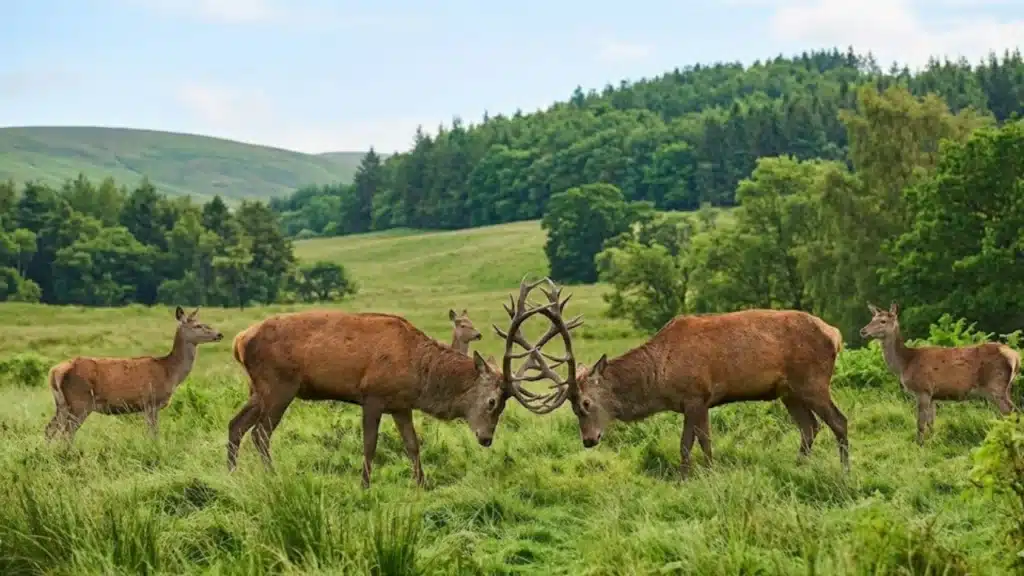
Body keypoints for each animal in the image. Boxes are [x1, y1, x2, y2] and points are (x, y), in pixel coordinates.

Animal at [43, 306, 224, 443]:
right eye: (198, 325)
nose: (219, 334)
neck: (170, 372)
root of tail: (56, 371)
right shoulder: (151, 402)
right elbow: (153, 433)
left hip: (62, 404)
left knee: (50, 429)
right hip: (80, 401)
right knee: (67, 433)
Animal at [226, 277, 577, 488]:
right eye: (492, 402)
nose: (487, 439)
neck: (419, 375)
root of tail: (239, 340)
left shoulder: (400, 404)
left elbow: (412, 444)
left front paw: (422, 484)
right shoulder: (373, 395)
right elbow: (370, 443)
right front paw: (365, 485)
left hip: (257, 388)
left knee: (236, 425)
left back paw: (230, 475)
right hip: (279, 385)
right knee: (260, 433)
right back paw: (272, 478)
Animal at [502, 291, 851, 479]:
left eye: (585, 404)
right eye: (573, 408)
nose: (589, 440)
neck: (660, 379)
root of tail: (835, 334)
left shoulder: (697, 395)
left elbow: (695, 444)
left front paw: (700, 476)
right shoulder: (693, 403)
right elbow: (694, 443)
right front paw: (695, 475)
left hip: (813, 380)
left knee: (838, 421)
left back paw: (845, 470)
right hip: (789, 391)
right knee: (810, 427)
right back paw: (799, 466)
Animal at [859, 302, 1019, 445]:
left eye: (883, 321)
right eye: (872, 319)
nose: (863, 331)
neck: (905, 364)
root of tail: (1014, 356)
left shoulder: (922, 389)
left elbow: (920, 423)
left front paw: (920, 444)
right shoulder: (933, 395)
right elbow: (931, 422)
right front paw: (935, 441)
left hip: (995, 386)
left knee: (1012, 411)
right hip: (1006, 387)